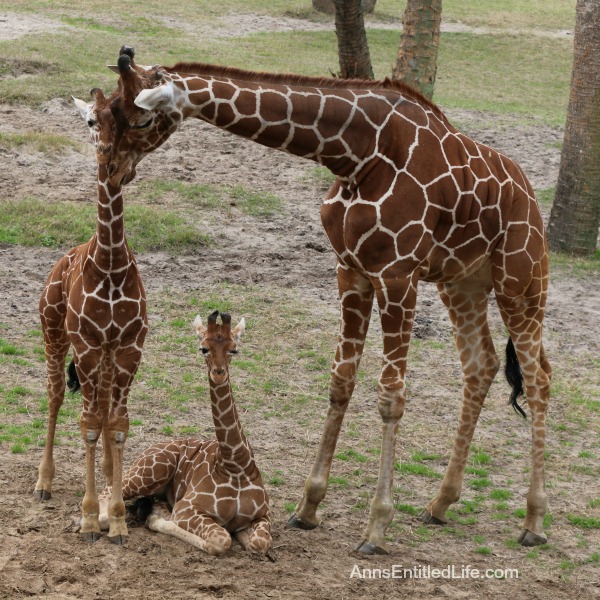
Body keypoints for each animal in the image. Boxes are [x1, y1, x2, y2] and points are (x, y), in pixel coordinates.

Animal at [99, 312, 274, 556]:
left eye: (234, 349)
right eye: (203, 348)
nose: (218, 373)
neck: (236, 464)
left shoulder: (264, 514)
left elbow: (259, 542)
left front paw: (244, 535)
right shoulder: (187, 507)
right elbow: (220, 540)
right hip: (151, 471)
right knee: (108, 492)